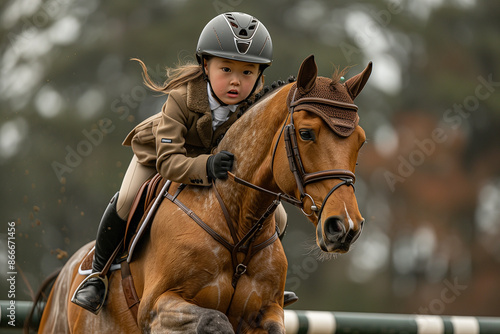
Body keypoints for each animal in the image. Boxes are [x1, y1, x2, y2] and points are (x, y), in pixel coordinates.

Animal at [36, 54, 372, 332]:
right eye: (306, 133)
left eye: (361, 141)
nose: (344, 227)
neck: (237, 227)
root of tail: (64, 274)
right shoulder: (157, 308)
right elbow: (215, 320)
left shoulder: (266, 312)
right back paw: (91, 289)